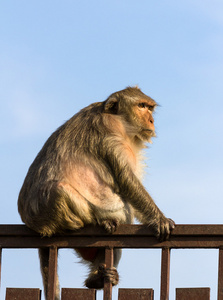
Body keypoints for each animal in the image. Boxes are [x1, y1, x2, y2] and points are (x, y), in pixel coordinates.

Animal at [17, 86, 174, 300]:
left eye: (150, 108)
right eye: (141, 106)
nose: (151, 121)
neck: (121, 122)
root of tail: (34, 226)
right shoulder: (108, 135)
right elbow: (127, 181)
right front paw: (160, 219)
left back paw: (97, 279)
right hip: (51, 215)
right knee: (61, 190)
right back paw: (100, 222)